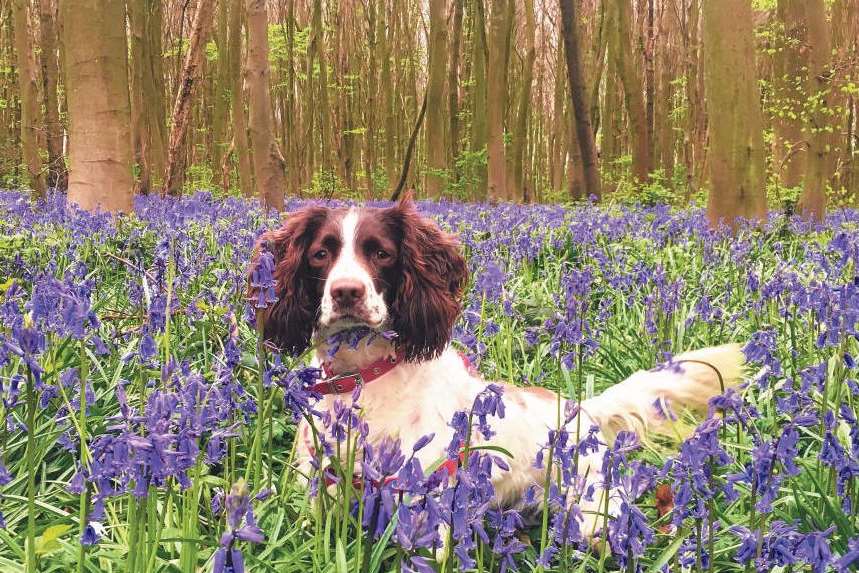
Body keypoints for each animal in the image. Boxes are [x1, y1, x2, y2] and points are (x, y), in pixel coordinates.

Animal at [250, 196, 744, 536]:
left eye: (381, 253)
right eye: (321, 253)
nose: (346, 292)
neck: (364, 378)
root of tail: (583, 410)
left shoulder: (428, 501)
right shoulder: (319, 495)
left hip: (594, 510)